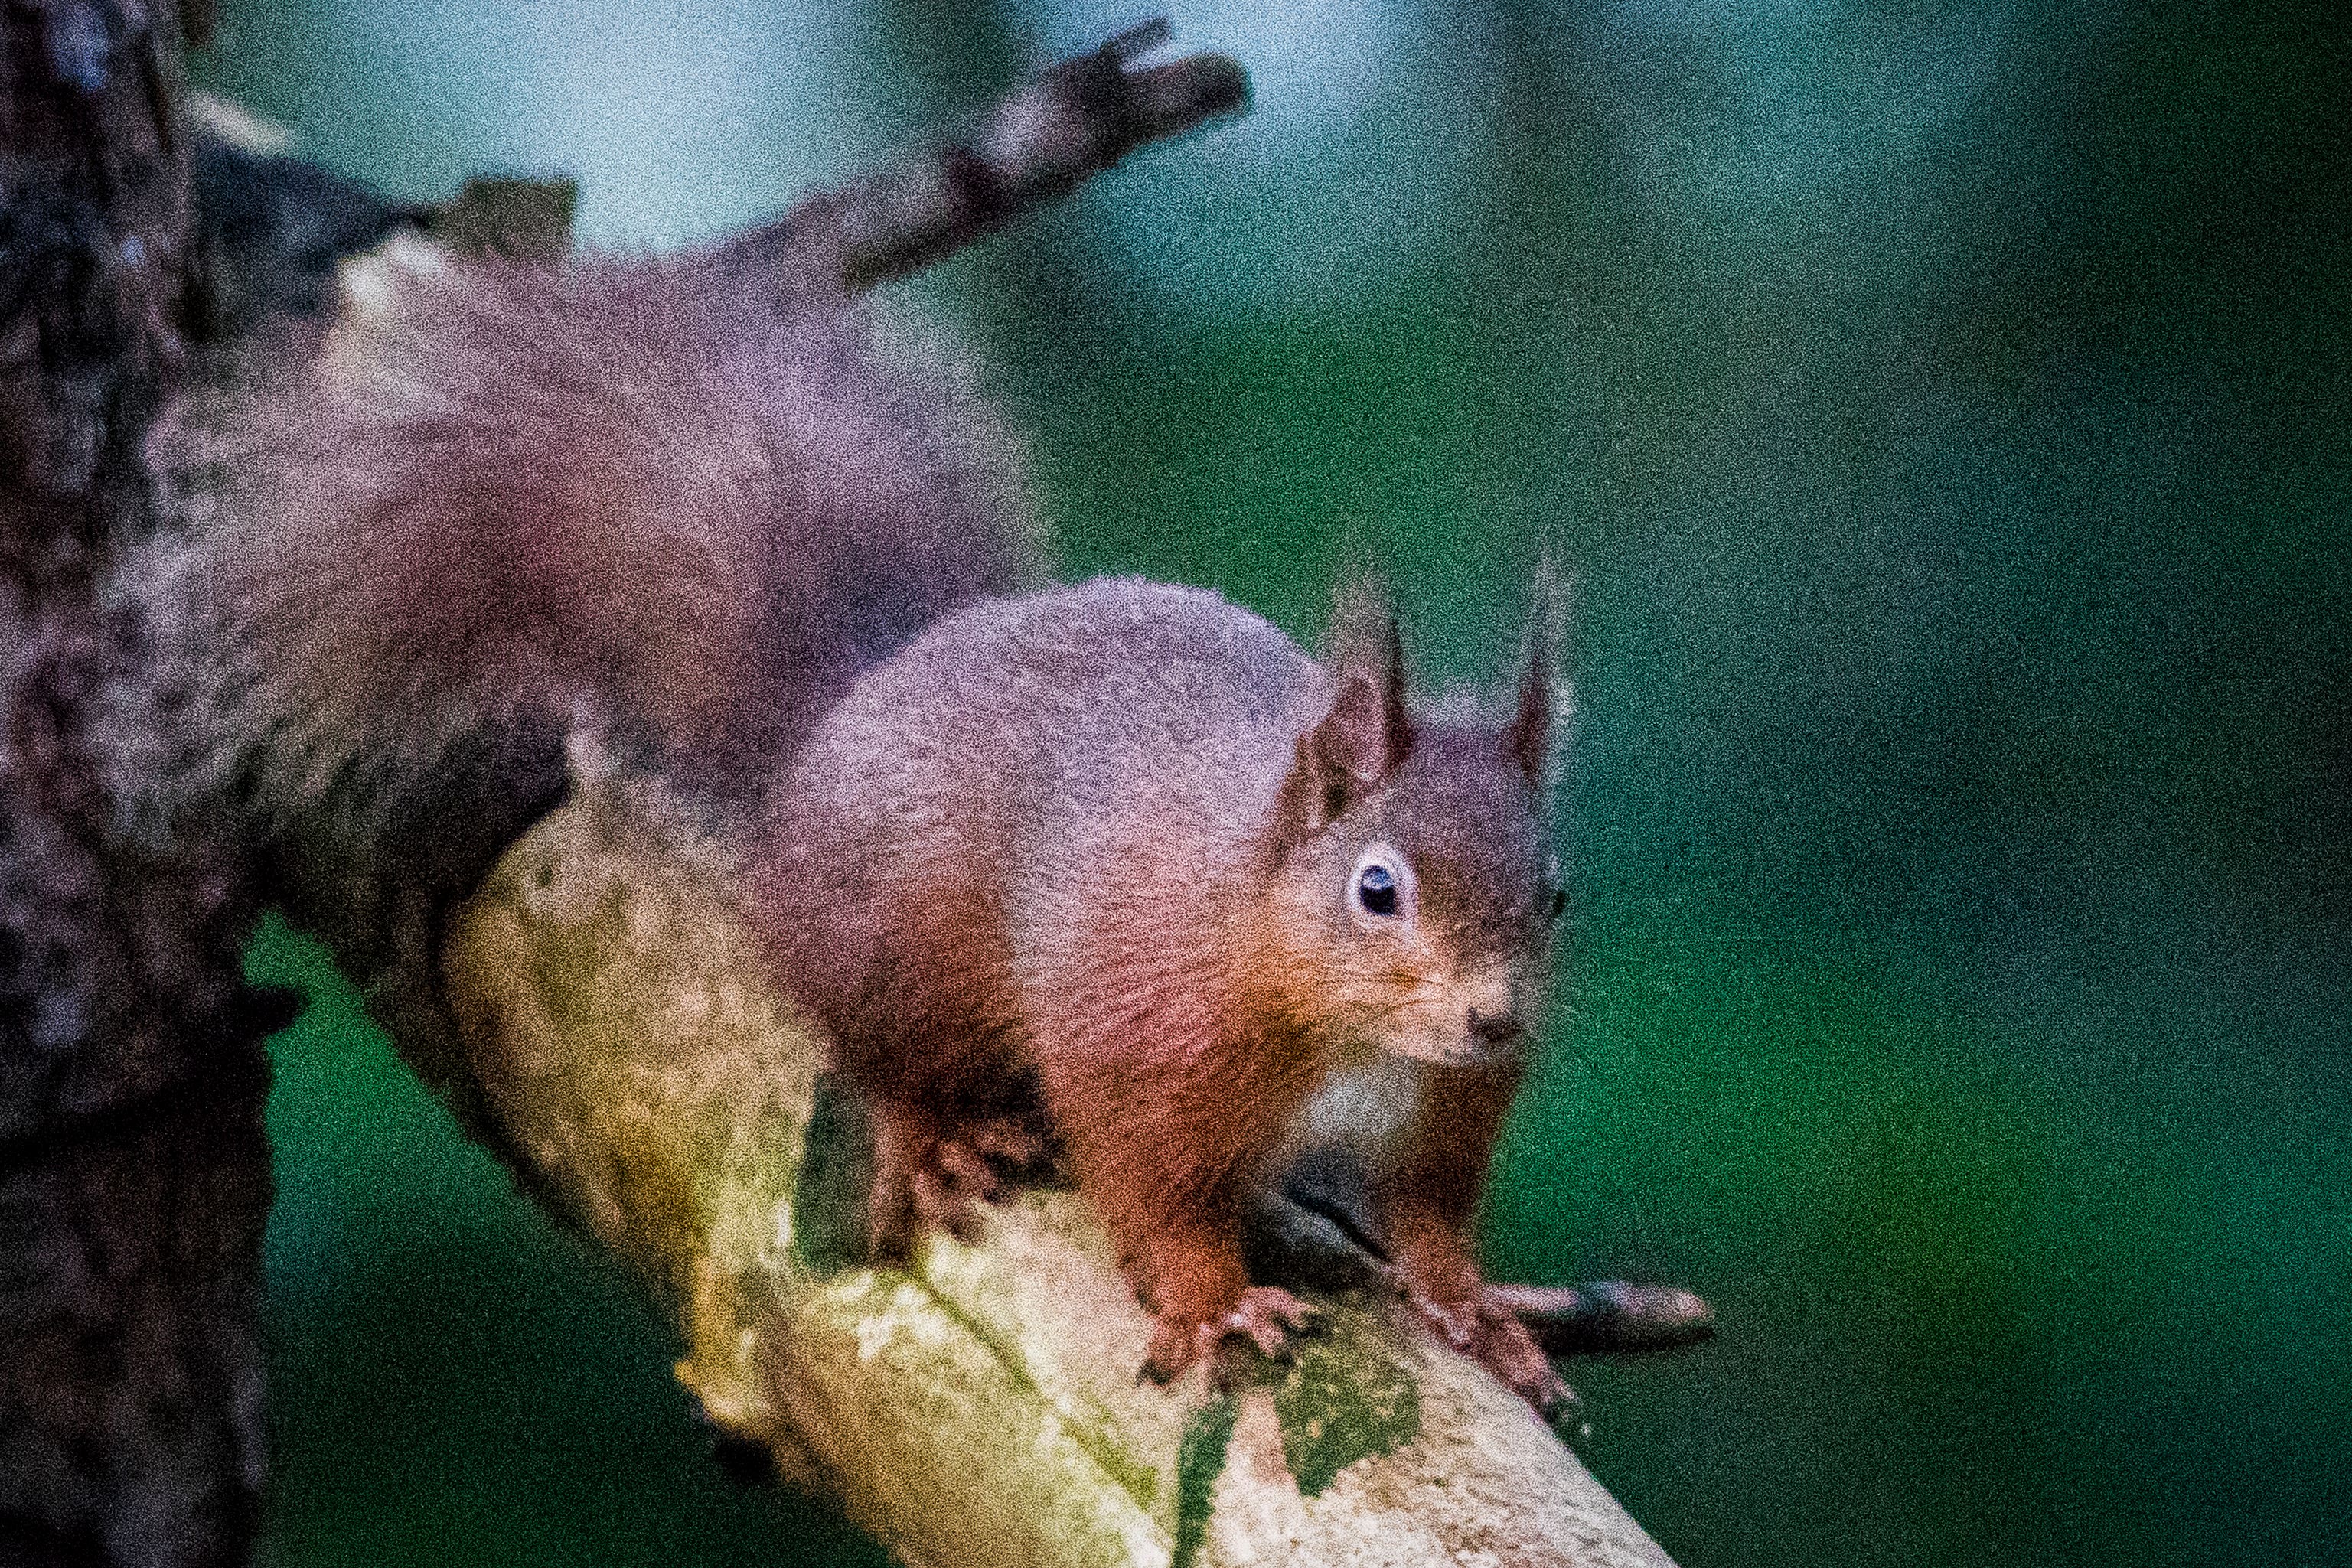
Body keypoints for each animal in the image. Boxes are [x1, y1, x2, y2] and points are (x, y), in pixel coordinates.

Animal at [142, 192, 1581, 1410]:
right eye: (1376, 886)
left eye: (1556, 890)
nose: (1495, 1019)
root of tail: (832, 728)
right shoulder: (1136, 1039)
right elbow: (1154, 1195)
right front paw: (1213, 1303)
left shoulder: (1440, 1126)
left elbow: (1431, 1223)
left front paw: (1481, 1310)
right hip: (891, 952)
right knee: (874, 1050)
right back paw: (936, 1134)